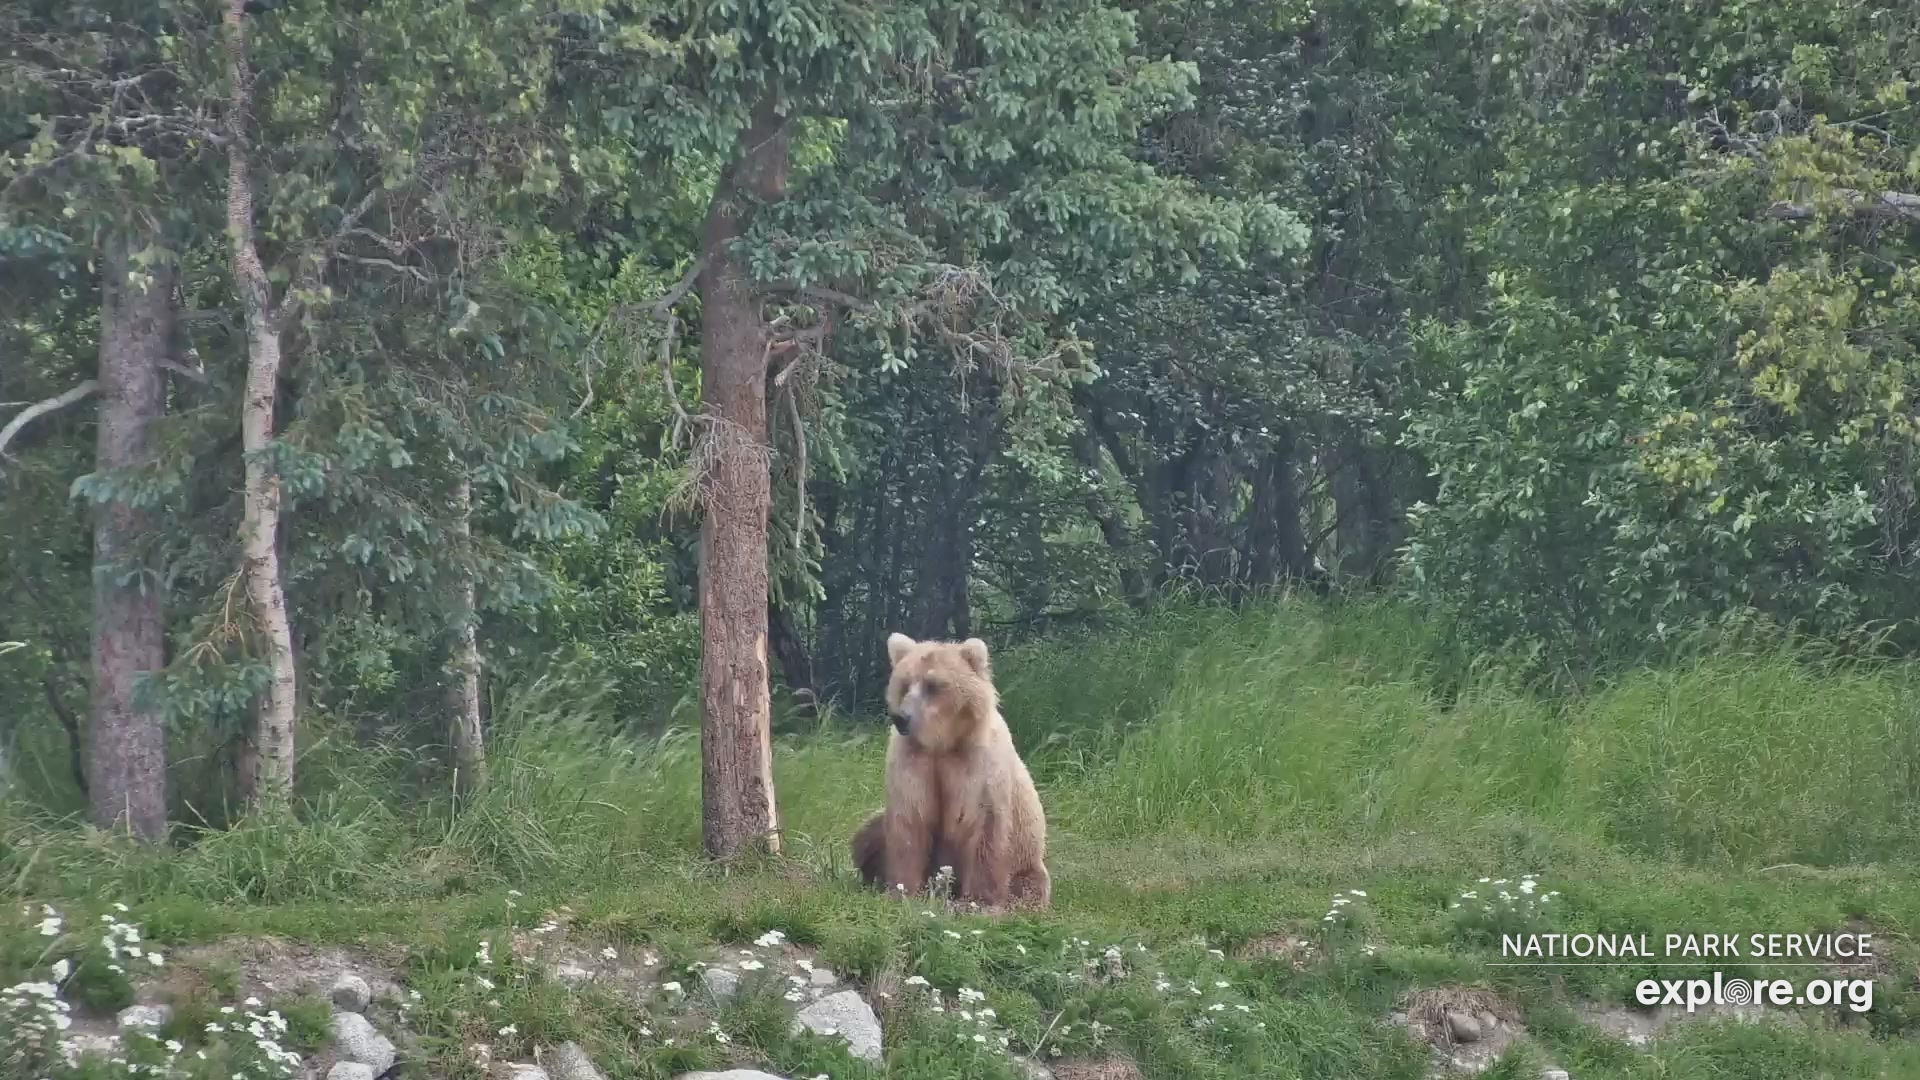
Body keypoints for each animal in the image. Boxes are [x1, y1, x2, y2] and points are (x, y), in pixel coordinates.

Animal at [849, 632, 1051, 910]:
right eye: (905, 683)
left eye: (933, 685)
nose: (902, 717)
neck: (941, 744)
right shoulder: (913, 762)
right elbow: (909, 822)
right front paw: (901, 891)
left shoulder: (976, 765)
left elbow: (983, 827)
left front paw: (977, 902)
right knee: (868, 832)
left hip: (1027, 860)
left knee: (1030, 883)